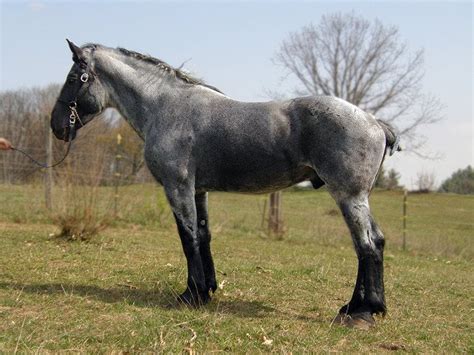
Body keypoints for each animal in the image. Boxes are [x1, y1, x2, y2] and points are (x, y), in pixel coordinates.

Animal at [51, 40, 400, 330]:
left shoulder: (177, 187)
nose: (56, 125)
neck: (166, 107)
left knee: (367, 245)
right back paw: (357, 307)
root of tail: (374, 122)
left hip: (349, 196)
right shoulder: (197, 190)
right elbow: (203, 236)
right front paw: (207, 290)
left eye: (74, 78)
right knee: (373, 243)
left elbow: (188, 237)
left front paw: (190, 296)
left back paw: (363, 312)